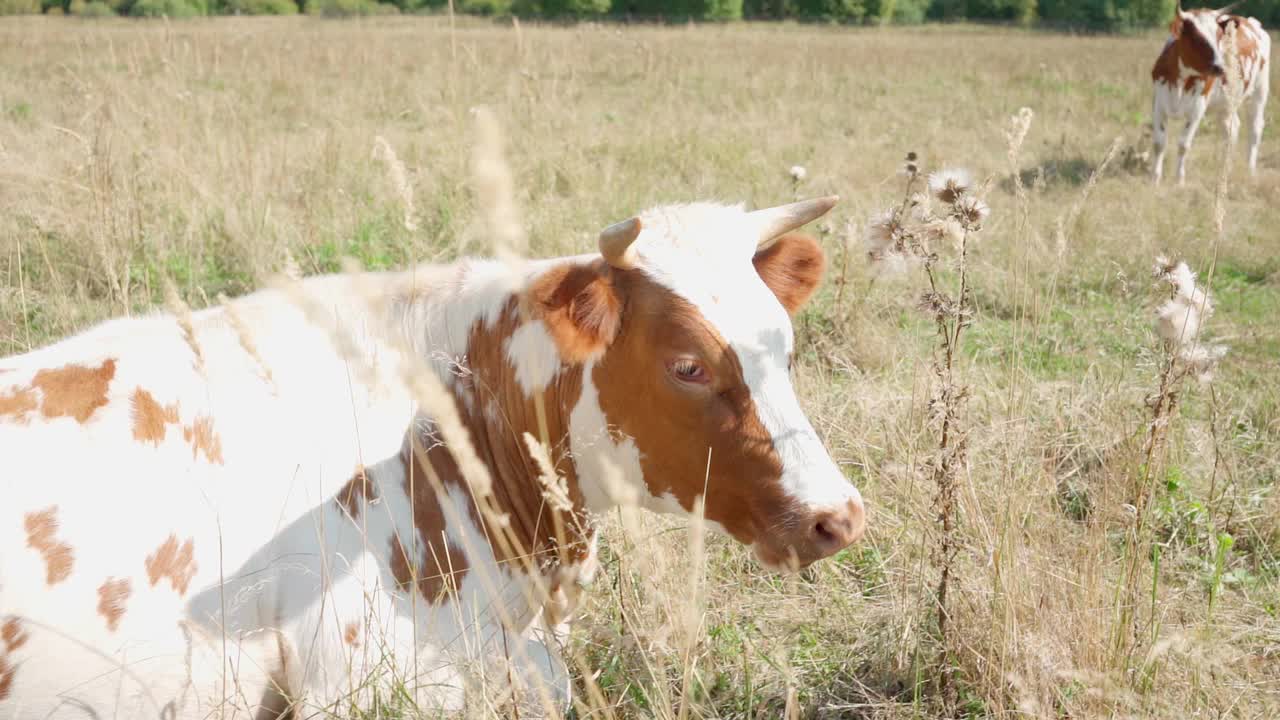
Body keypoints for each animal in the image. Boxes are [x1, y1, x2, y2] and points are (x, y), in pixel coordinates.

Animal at [1152, 1, 1269, 184]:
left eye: (1219, 36)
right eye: (1196, 38)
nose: (1220, 67)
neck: (1181, 81)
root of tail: (1252, 23)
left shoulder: (1197, 109)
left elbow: (1183, 144)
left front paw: (1179, 180)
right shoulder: (1159, 103)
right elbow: (1159, 142)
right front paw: (1155, 180)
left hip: (1259, 92)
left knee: (1255, 128)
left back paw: (1250, 170)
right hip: (1226, 105)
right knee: (1232, 129)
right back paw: (1225, 169)